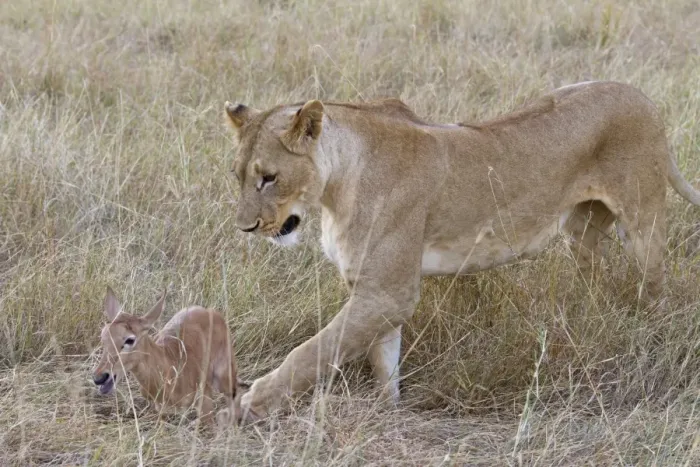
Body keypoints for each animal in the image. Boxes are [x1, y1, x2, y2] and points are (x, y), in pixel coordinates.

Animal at [222, 81, 700, 422]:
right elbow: (382, 360)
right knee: (594, 276)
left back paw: (651, 335)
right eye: (238, 176)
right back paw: (582, 321)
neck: (336, 185)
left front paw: (250, 404)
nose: (245, 228)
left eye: (269, 178)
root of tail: (640, 95)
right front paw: (387, 411)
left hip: (642, 221)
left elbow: (312, 352)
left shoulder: (388, 291)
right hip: (581, 230)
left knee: (656, 288)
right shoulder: (375, 289)